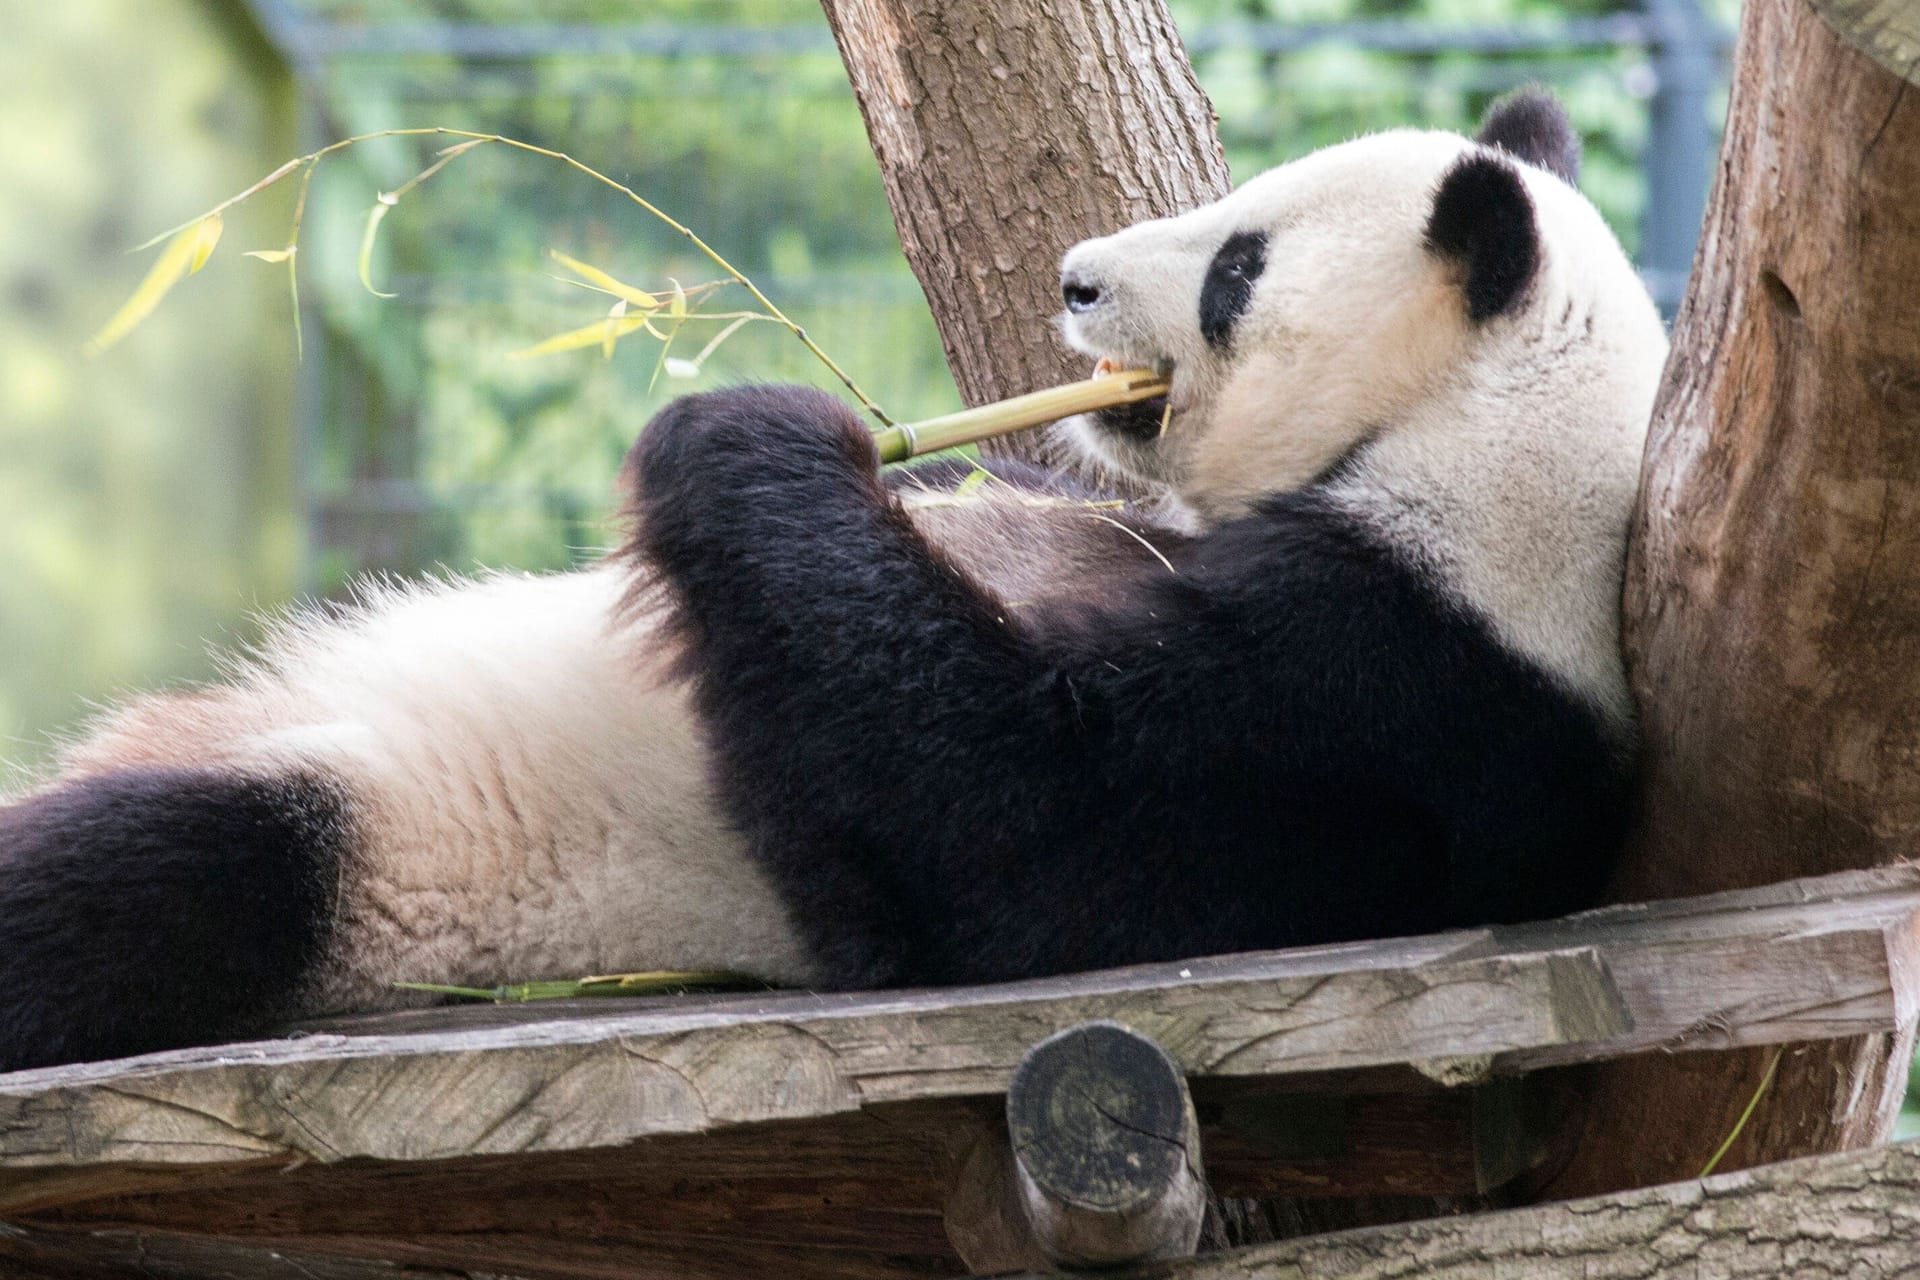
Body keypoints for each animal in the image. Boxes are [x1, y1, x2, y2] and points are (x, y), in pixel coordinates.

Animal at [0, 92, 1666, 1074]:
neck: (1482, 441)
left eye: (1237, 268)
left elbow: (1003, 839)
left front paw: (746, 432)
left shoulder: (1397, 689)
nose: (1072, 278)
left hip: (399, 847)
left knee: (159, 880)